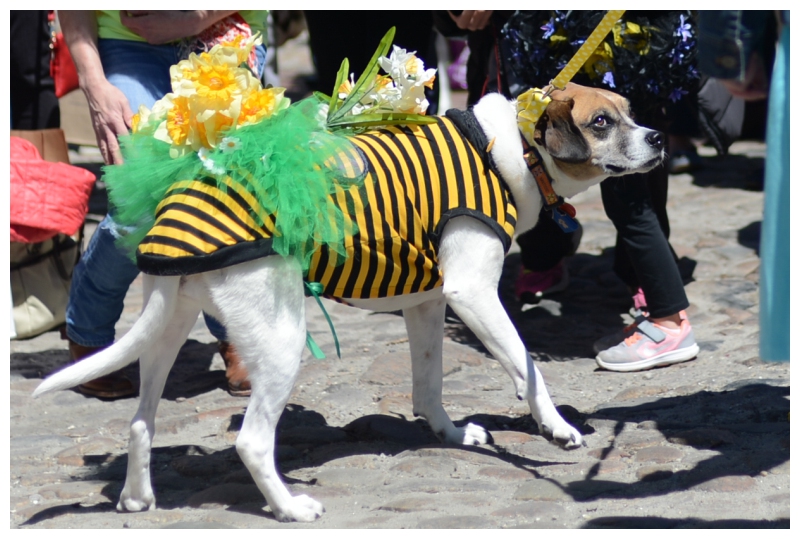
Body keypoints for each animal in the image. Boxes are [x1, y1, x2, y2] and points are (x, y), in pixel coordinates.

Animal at [34, 83, 664, 524]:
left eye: (630, 110)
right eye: (601, 123)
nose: (658, 138)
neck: (507, 150)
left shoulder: (429, 303)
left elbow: (428, 386)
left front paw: (451, 436)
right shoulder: (473, 294)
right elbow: (528, 367)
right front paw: (555, 427)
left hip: (166, 332)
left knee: (141, 421)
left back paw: (137, 498)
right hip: (281, 340)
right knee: (251, 441)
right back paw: (289, 509)